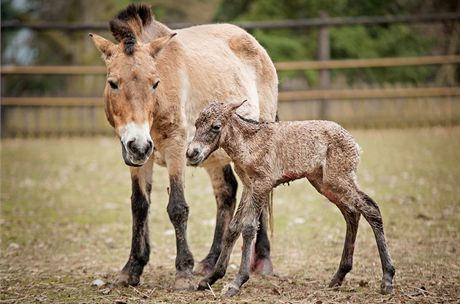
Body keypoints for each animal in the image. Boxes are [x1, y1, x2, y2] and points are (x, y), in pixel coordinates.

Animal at [89, 5, 276, 290]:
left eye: (155, 83)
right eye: (113, 83)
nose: (139, 144)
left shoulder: (176, 147)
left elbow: (177, 207)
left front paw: (183, 272)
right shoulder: (138, 158)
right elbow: (139, 206)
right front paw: (132, 269)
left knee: (259, 193)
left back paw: (263, 262)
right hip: (214, 155)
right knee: (226, 194)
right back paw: (210, 262)